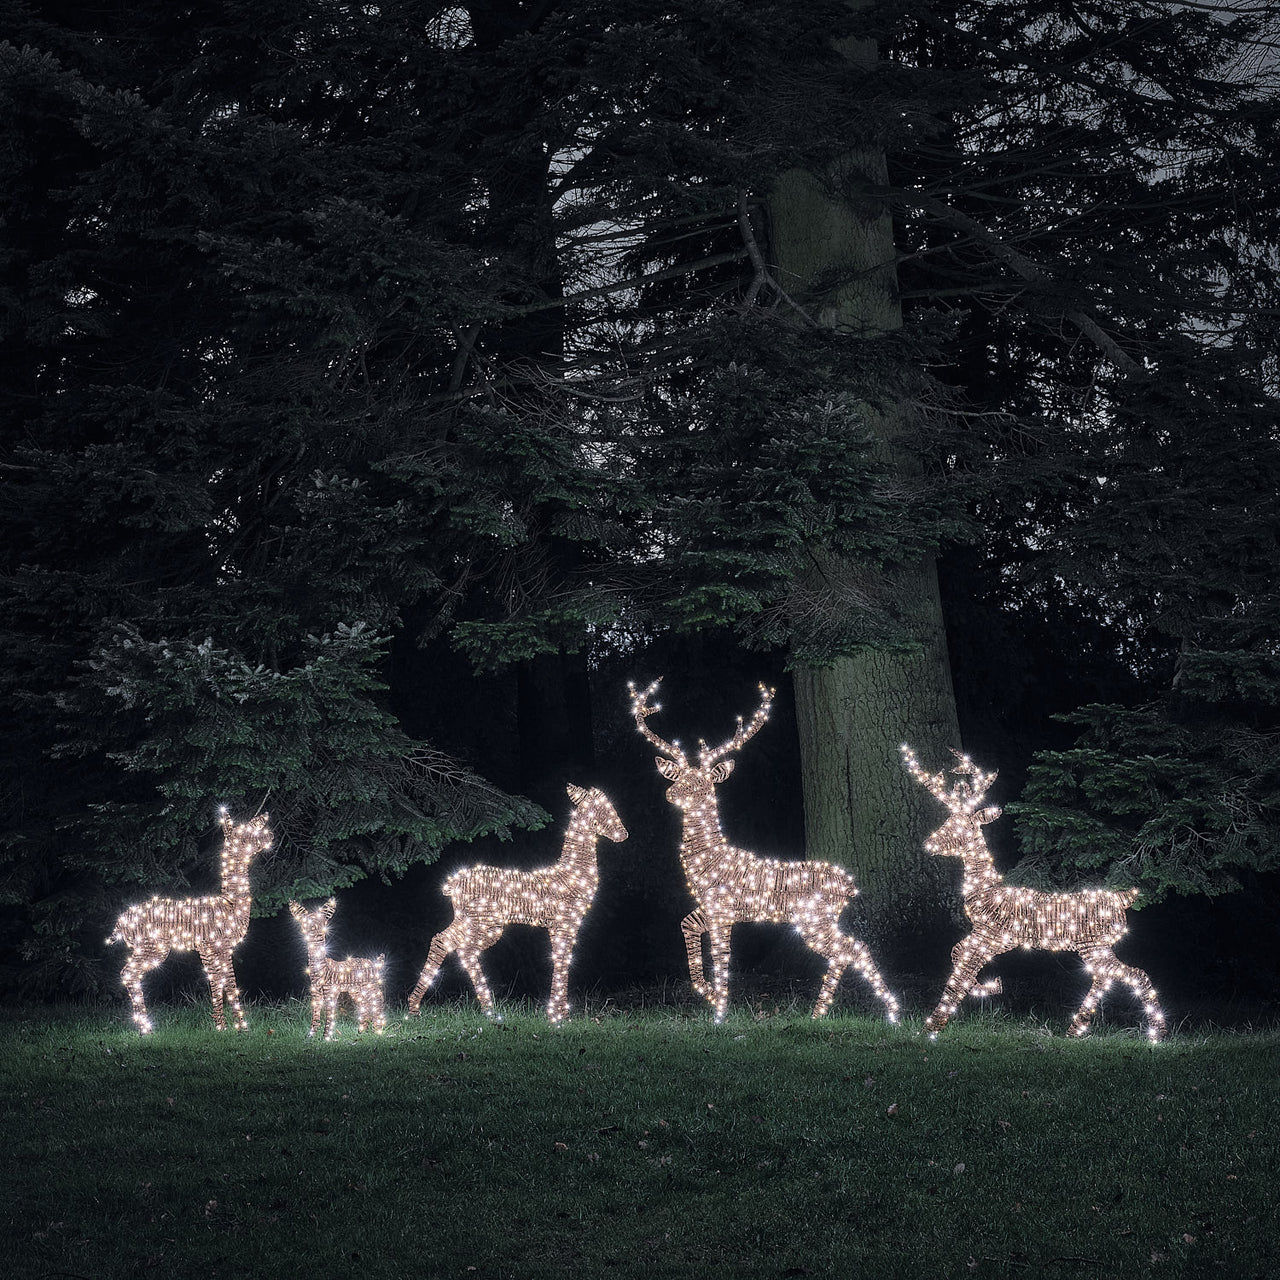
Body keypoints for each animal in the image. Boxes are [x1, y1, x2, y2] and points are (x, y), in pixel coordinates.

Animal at [106, 810, 272, 1034]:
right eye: (244, 832)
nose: (269, 835)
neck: (230, 905)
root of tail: (122, 922)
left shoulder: (214, 949)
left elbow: (219, 981)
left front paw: (223, 1025)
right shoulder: (214, 945)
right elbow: (228, 982)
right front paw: (238, 1027)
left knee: (130, 974)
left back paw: (144, 1026)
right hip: (152, 947)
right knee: (128, 973)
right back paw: (145, 1028)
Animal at [288, 899, 387, 1039]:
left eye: (323, 922)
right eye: (304, 922)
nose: (313, 930)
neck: (321, 969)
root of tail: (376, 963)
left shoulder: (330, 990)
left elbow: (329, 1012)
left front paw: (326, 1037)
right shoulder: (315, 991)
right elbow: (315, 1012)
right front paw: (311, 1035)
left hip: (370, 986)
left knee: (377, 1001)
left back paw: (377, 1032)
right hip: (356, 990)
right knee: (364, 1005)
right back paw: (361, 1032)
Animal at [406, 785, 628, 1024]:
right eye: (602, 808)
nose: (623, 833)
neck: (571, 875)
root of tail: (453, 884)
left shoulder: (561, 924)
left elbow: (561, 958)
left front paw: (561, 1013)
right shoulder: (565, 921)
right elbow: (561, 958)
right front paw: (557, 1017)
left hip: (468, 919)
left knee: (444, 941)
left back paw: (424, 1007)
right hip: (486, 922)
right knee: (464, 949)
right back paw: (484, 1009)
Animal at [630, 679, 900, 1024]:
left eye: (703, 783)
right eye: (679, 776)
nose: (671, 792)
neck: (710, 858)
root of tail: (850, 886)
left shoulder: (722, 908)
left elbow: (722, 958)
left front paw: (719, 1012)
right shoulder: (711, 908)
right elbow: (686, 925)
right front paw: (706, 992)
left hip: (814, 918)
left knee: (854, 948)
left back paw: (890, 1011)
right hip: (819, 920)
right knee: (847, 950)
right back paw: (819, 1013)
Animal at [901, 745, 1166, 1041]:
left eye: (957, 826)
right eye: (948, 820)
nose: (929, 843)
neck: (986, 889)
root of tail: (1124, 897)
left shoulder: (989, 935)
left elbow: (960, 968)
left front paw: (932, 1025)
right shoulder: (995, 938)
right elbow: (956, 952)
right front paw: (990, 986)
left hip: (1095, 943)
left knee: (1133, 973)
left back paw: (1157, 1034)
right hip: (1097, 946)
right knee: (1106, 976)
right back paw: (1075, 1029)